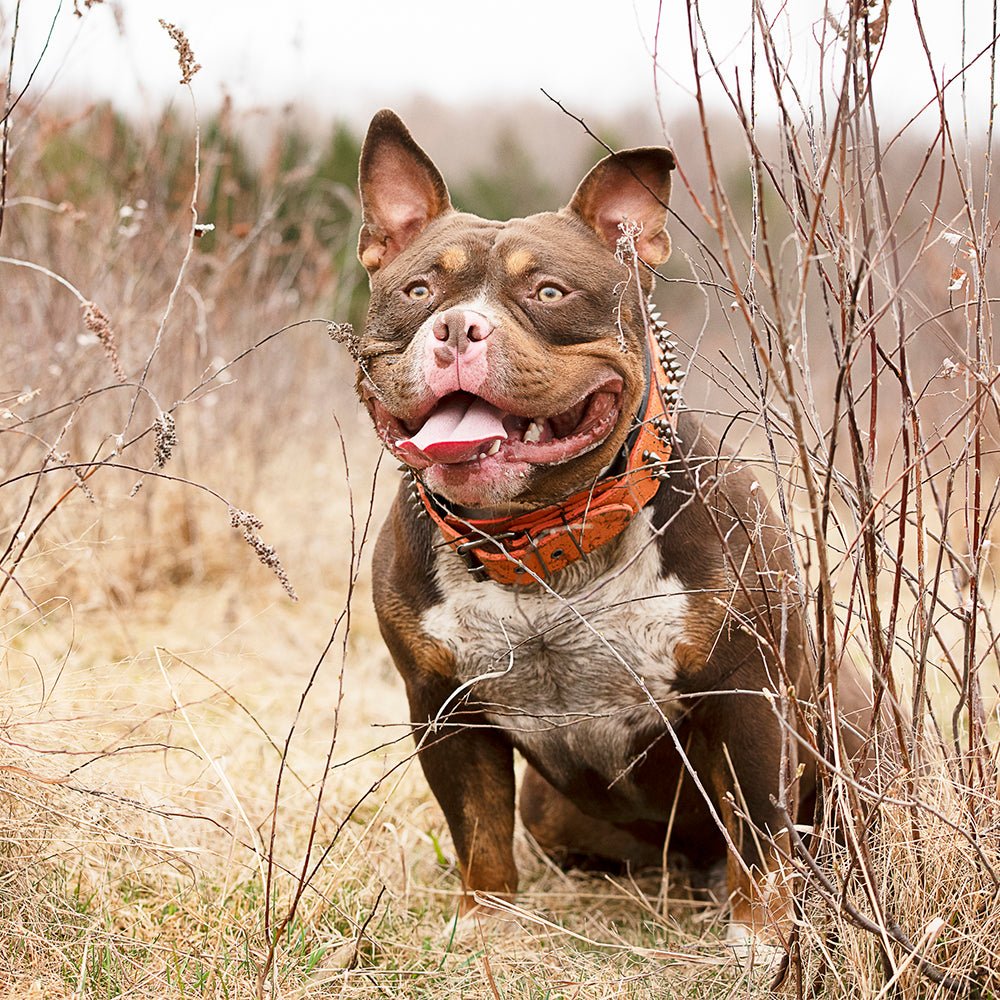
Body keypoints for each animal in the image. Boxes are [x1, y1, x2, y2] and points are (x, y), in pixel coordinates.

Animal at [352, 107, 844, 952]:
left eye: (549, 291)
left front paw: (758, 941)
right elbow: (478, 830)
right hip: (552, 813)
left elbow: (761, 832)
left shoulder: (750, 696)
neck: (539, 542)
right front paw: (483, 926)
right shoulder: (444, 709)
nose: (457, 327)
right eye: (418, 290)